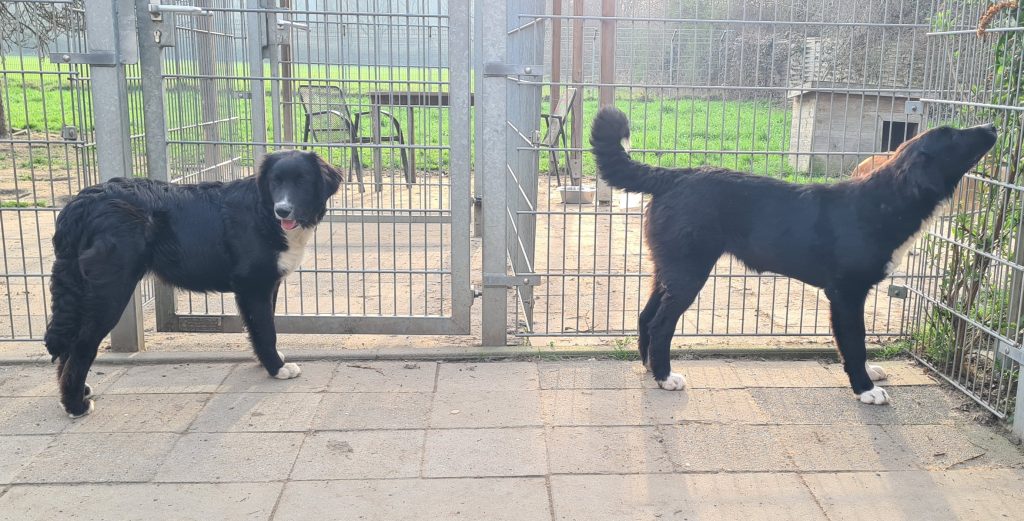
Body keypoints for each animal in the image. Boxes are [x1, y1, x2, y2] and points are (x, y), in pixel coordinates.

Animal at [44, 150, 342, 417]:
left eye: (302, 181)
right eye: (274, 182)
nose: (283, 209)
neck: (263, 212)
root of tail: (83, 201)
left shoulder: (265, 287)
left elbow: (259, 331)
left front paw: (268, 363)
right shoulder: (254, 287)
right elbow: (267, 331)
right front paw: (277, 368)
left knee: (70, 342)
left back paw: (77, 393)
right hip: (110, 292)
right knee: (82, 345)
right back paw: (75, 405)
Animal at [591, 107, 997, 404]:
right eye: (954, 136)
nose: (993, 124)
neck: (885, 201)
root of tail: (673, 174)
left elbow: (855, 343)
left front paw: (869, 375)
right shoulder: (846, 294)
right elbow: (855, 342)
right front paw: (865, 388)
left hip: (669, 271)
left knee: (646, 318)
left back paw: (650, 369)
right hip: (689, 273)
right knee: (661, 324)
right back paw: (665, 378)